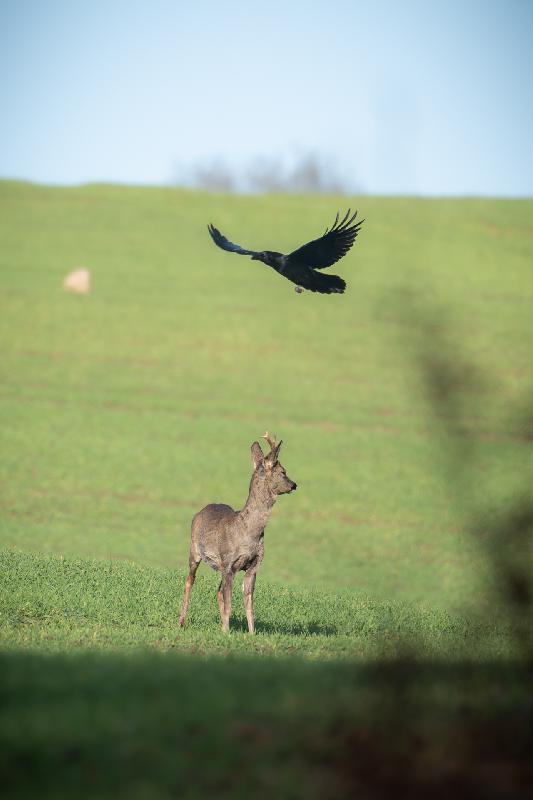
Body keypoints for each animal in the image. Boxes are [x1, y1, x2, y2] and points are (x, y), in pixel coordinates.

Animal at [178, 432, 297, 634]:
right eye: (283, 471)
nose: (294, 485)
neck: (248, 531)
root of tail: (202, 510)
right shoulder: (228, 563)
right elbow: (229, 603)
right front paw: (226, 634)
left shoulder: (254, 565)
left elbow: (248, 603)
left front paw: (251, 633)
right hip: (194, 550)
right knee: (190, 581)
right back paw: (181, 622)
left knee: (218, 591)